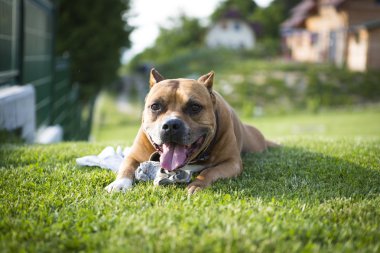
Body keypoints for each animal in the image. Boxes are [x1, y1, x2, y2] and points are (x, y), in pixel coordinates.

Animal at [105, 69, 274, 194]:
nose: (171, 125)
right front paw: (119, 184)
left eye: (195, 107)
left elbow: (209, 171)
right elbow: (126, 167)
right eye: (155, 106)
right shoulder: (134, 155)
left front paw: (197, 184)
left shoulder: (231, 162)